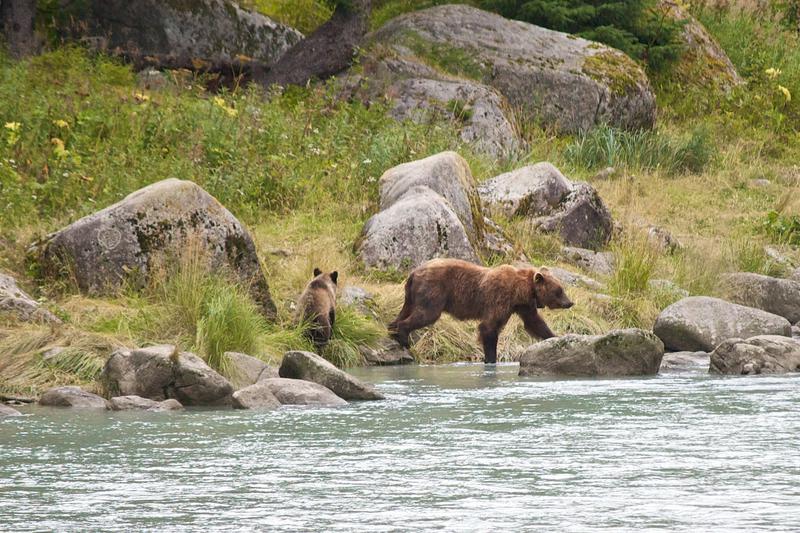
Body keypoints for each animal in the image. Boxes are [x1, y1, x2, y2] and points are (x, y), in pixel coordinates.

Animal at [386, 256, 568, 362]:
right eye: (559, 291)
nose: (569, 303)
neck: (520, 290)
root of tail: (413, 273)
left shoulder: (523, 305)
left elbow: (535, 323)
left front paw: (555, 337)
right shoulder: (500, 299)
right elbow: (489, 328)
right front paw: (490, 358)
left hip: (411, 295)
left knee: (405, 311)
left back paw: (393, 330)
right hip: (433, 290)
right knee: (426, 314)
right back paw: (404, 338)